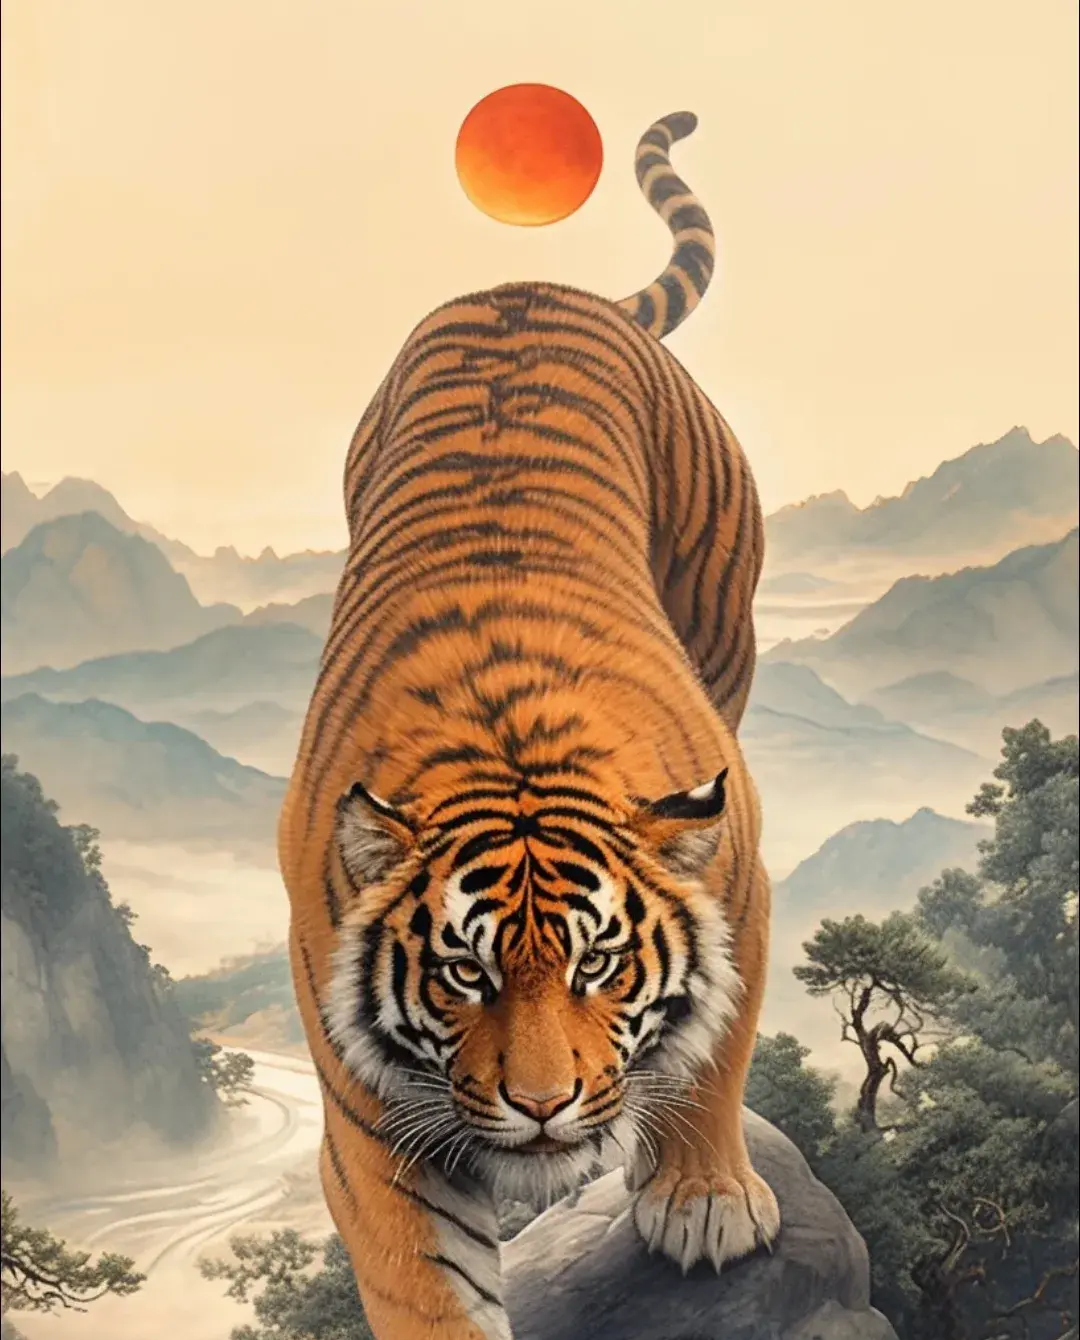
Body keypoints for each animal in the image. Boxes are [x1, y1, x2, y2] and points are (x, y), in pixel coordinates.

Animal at [278, 108, 778, 1340]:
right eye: (464, 973)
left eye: (599, 962)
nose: (545, 1107)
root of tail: (535, 280)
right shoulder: (369, 1109)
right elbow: (426, 1279)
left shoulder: (738, 880)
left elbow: (717, 1043)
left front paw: (702, 1202)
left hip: (725, 605)